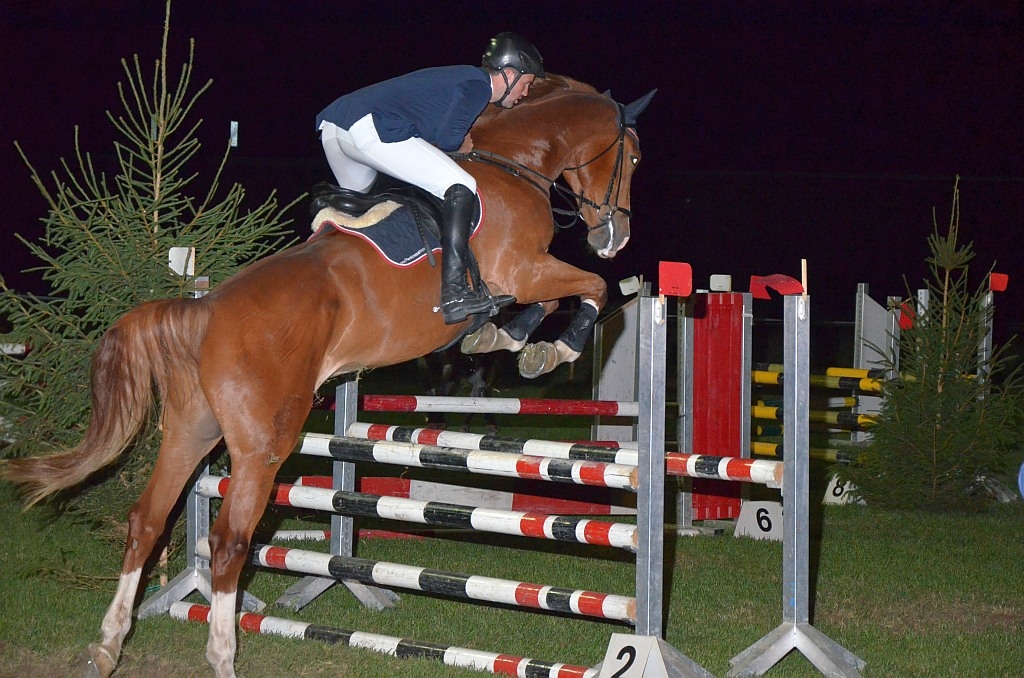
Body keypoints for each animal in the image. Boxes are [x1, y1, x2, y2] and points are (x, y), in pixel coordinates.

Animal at [0, 74, 653, 678]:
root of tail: (205, 309)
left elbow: (561, 297)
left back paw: (108, 645)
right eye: (633, 158)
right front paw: (542, 346)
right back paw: (221, 656)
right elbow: (587, 289)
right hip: (264, 442)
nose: (615, 235)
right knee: (228, 541)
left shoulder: (527, 276)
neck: (515, 163)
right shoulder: (524, 271)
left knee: (147, 520)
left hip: (192, 428)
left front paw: (508, 339)